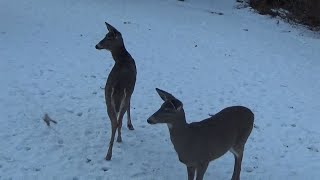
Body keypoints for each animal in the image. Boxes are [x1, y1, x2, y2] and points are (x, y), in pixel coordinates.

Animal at [94, 22, 136, 160]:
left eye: (108, 37)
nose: (97, 45)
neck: (123, 59)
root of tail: (116, 88)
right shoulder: (132, 89)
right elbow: (130, 106)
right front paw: (130, 125)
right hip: (124, 95)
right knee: (118, 122)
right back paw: (117, 141)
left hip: (107, 99)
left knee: (114, 122)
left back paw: (108, 154)